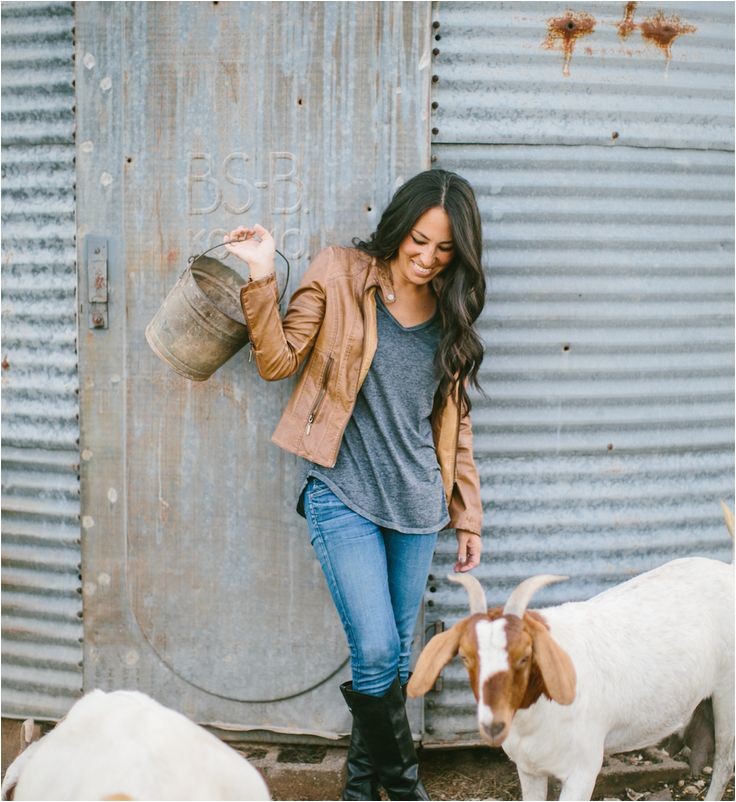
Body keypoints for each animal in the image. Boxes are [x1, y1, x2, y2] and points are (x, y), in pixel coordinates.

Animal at [408, 552, 734, 800]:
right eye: (465, 656)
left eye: (525, 656)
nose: (493, 724)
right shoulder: (528, 768)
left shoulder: (583, 770)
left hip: (727, 695)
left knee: (725, 760)